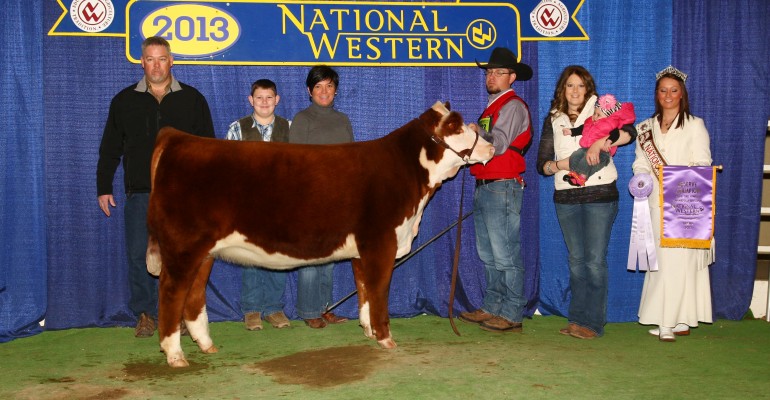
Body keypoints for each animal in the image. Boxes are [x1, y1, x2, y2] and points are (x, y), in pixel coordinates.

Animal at [145, 101, 492, 368]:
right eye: (456, 126)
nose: (490, 145)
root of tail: (177, 138)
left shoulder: (361, 250)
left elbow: (364, 290)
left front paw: (368, 330)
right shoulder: (381, 241)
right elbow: (379, 291)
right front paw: (385, 338)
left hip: (203, 252)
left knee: (193, 296)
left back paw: (206, 344)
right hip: (183, 248)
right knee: (171, 293)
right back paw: (175, 355)